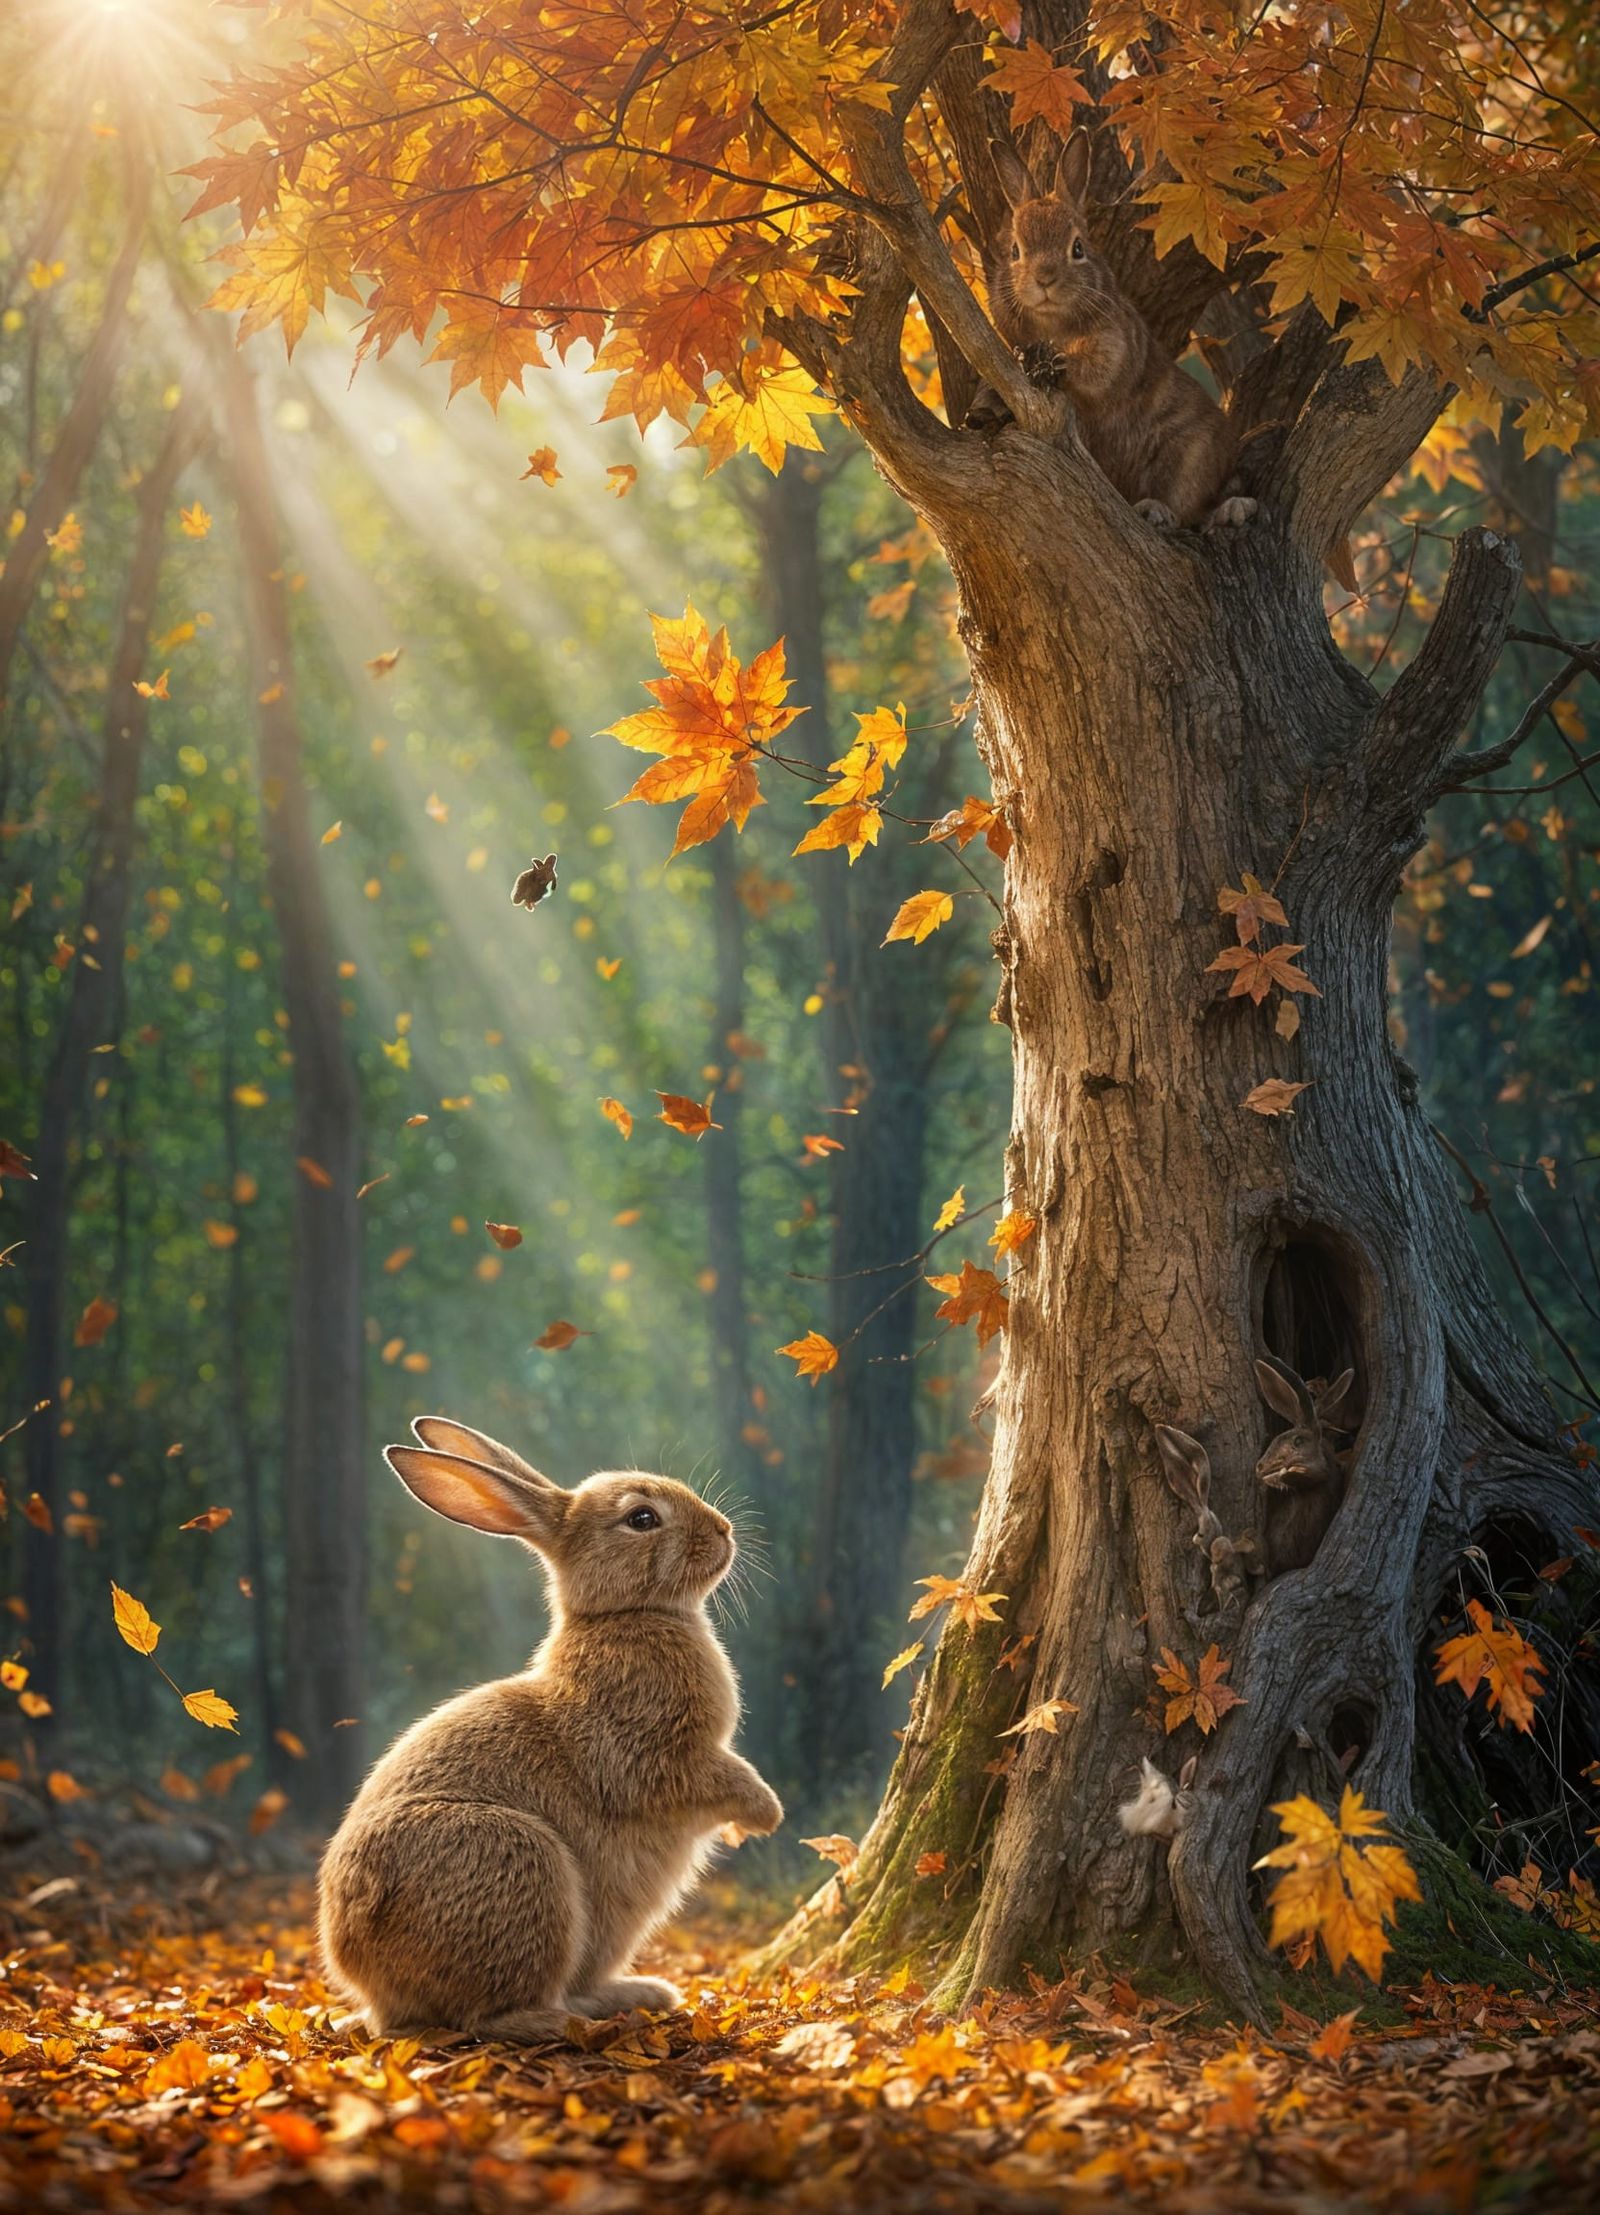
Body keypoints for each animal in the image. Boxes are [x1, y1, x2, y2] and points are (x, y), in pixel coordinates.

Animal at [318, 1416, 783, 2042]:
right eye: (642, 1518)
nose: (723, 1530)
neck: (619, 1616)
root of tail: (368, 1987)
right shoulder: (653, 1755)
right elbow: (716, 1777)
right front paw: (767, 1816)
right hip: (518, 1862)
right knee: (484, 2015)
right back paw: (570, 2019)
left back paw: (634, 1993)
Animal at [974, 129, 1251, 532]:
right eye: (1014, 251)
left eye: (1077, 248)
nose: (1044, 278)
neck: (1052, 324)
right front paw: (983, 411)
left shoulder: (1112, 347)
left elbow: (1094, 373)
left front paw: (1051, 364)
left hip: (1190, 454)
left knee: (1188, 508)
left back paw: (1172, 509)